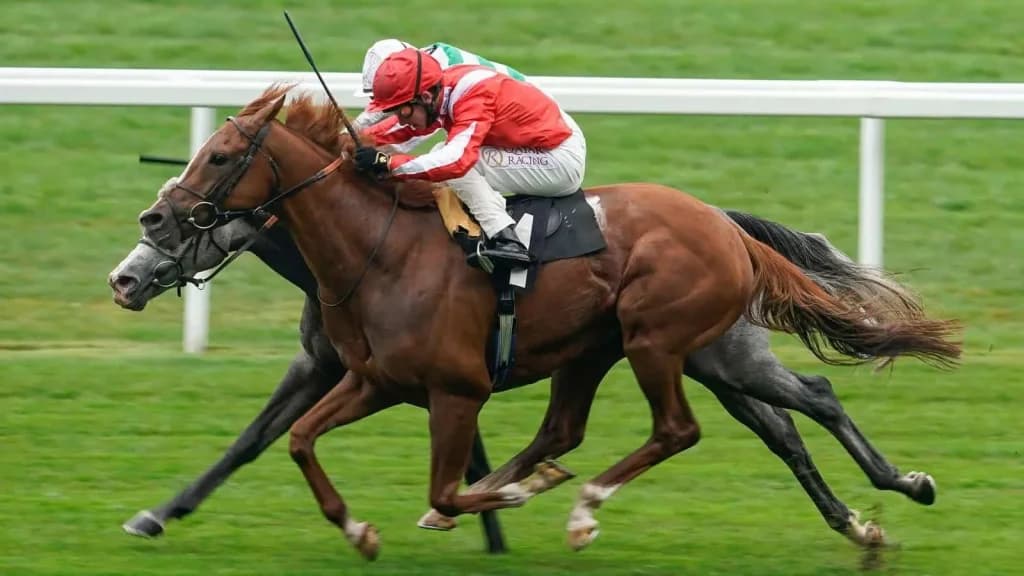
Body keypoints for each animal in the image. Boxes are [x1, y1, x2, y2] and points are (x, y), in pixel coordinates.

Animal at [137, 84, 960, 558]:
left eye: (221, 156)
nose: (148, 230)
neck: (378, 251)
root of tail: (723, 223)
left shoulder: (455, 389)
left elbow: (446, 482)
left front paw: (495, 505)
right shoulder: (370, 379)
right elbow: (294, 440)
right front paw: (358, 527)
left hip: (660, 341)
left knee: (685, 428)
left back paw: (583, 508)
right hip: (663, 353)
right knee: (785, 411)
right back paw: (877, 509)